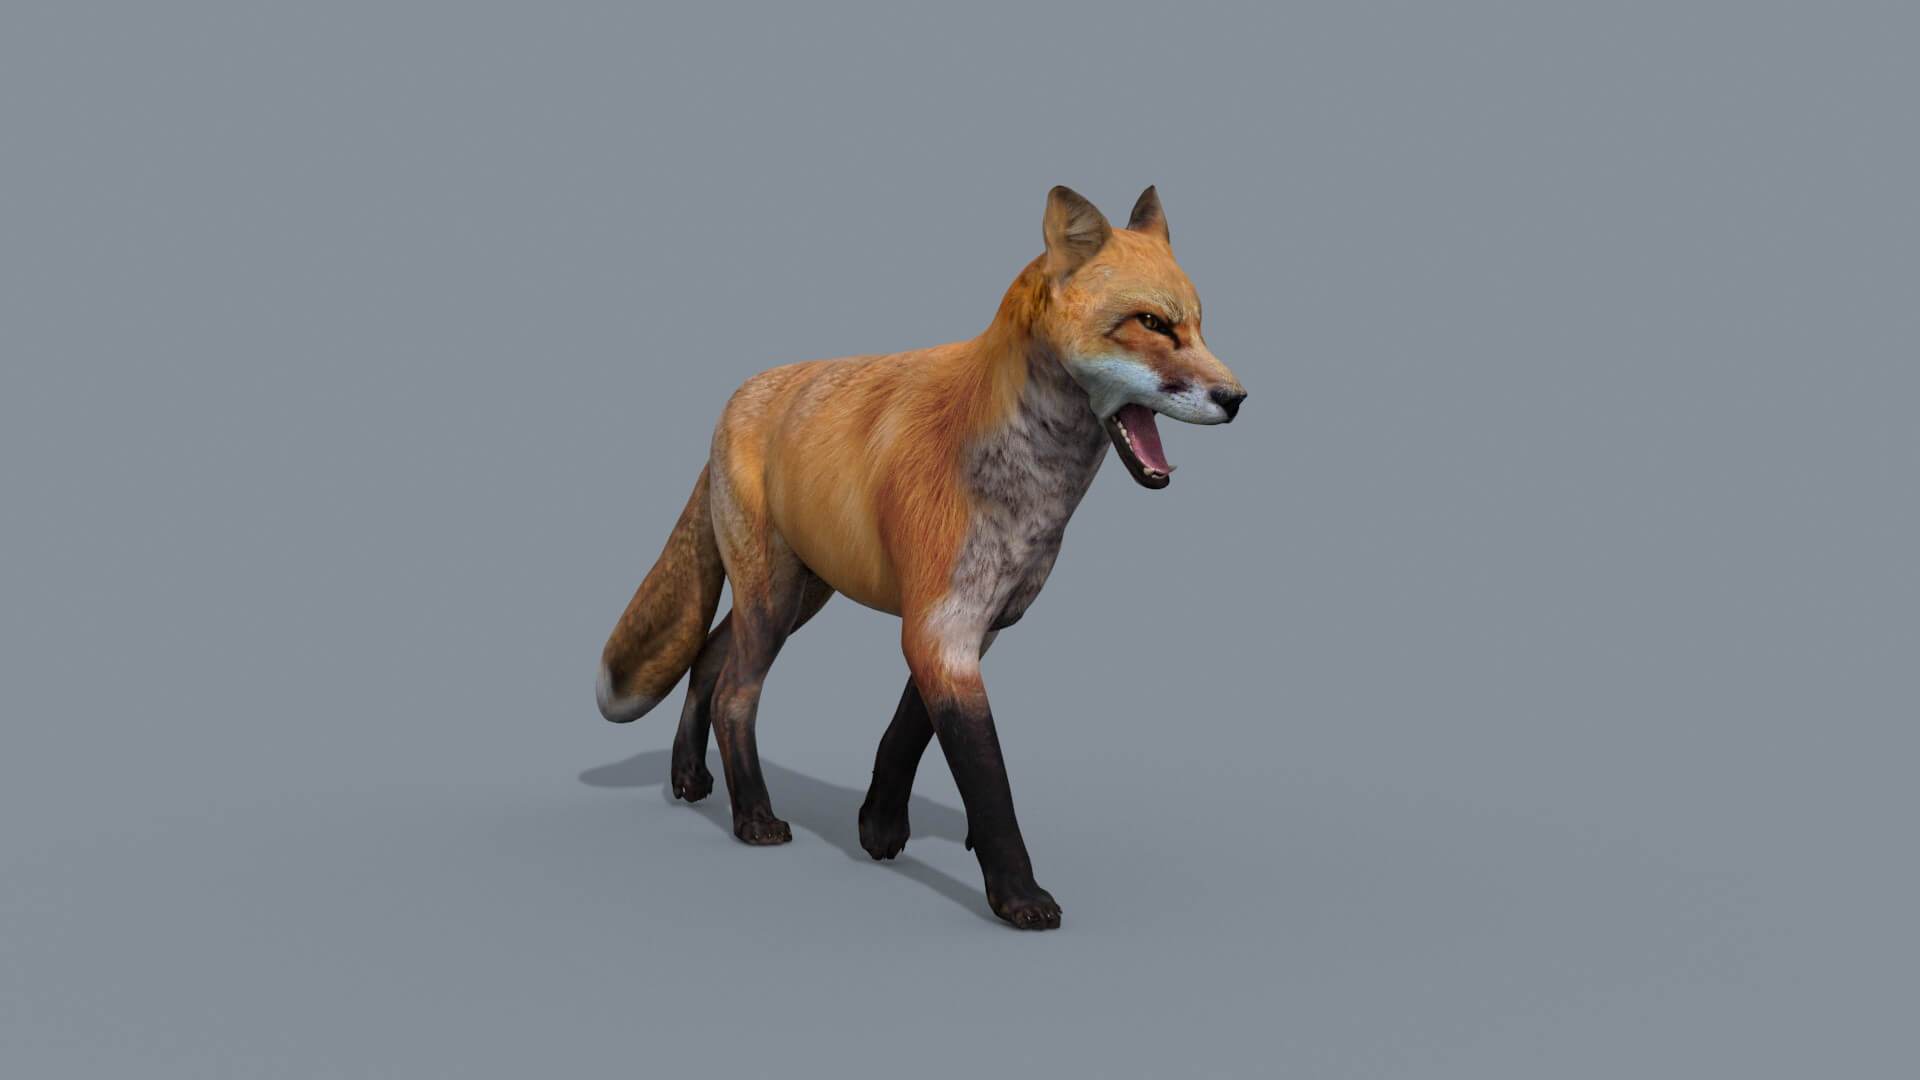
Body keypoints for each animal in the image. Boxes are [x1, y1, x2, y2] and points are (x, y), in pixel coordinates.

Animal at [596, 185, 1246, 929]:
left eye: (1199, 328)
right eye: (1152, 324)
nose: (1238, 398)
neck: (1029, 489)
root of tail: (735, 400)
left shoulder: (975, 622)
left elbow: (909, 728)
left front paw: (879, 824)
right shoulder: (940, 624)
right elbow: (987, 775)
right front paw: (1018, 894)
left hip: (800, 592)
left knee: (707, 658)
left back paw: (689, 778)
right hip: (775, 597)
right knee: (735, 691)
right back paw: (753, 816)